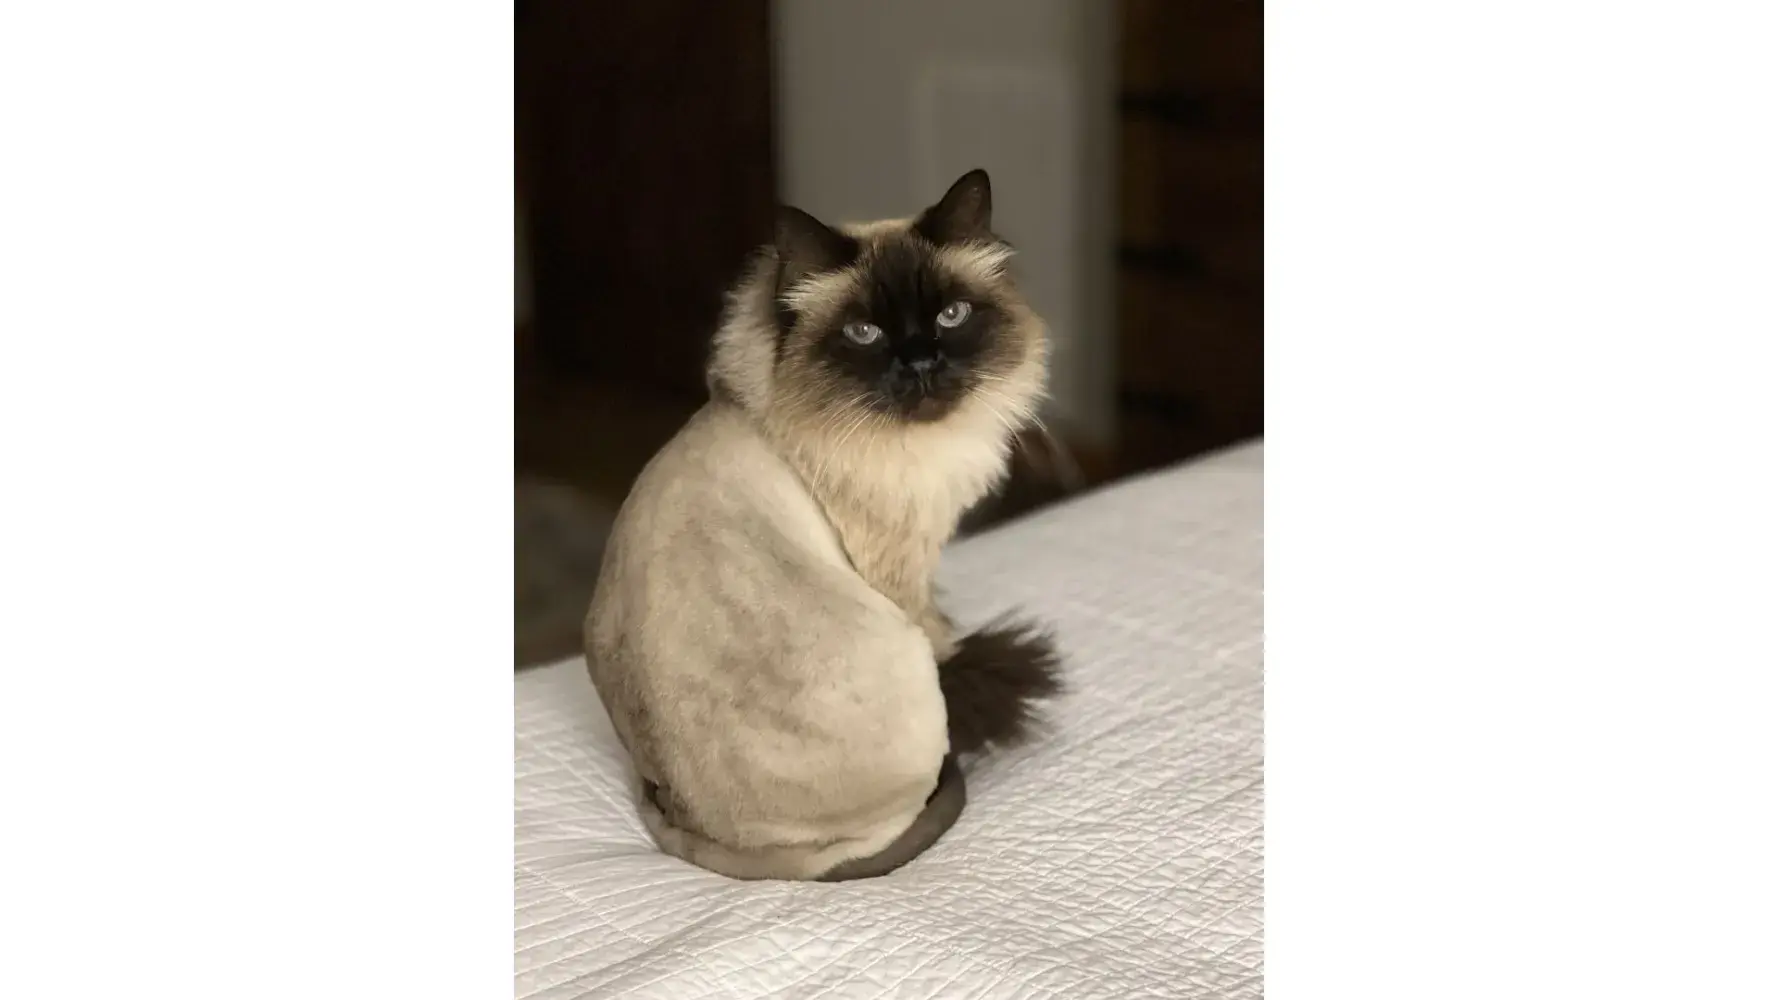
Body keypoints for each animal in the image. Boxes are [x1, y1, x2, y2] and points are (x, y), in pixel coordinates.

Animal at [584, 169, 1061, 881]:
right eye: (864, 332)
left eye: (951, 316)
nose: (921, 366)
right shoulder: (902, 573)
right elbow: (942, 633)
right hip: (904, 660)